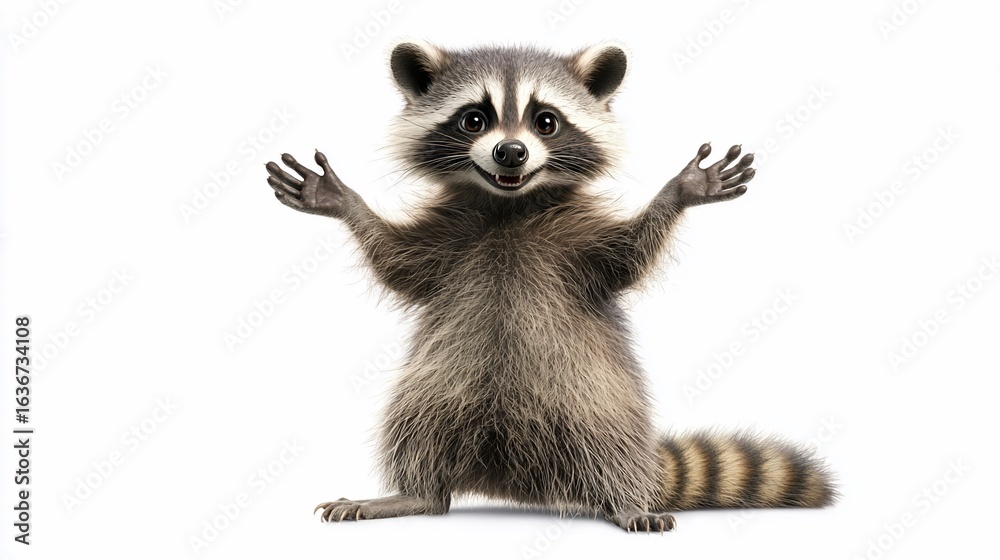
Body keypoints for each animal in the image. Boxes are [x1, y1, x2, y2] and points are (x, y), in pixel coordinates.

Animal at [265, 41, 836, 533]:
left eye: (546, 121)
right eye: (474, 118)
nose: (511, 152)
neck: (509, 206)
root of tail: (510, 481)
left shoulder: (580, 244)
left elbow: (629, 258)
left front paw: (678, 193)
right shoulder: (445, 241)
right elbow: (395, 262)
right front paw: (346, 203)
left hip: (597, 397)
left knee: (609, 444)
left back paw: (623, 501)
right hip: (437, 387)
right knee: (416, 428)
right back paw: (415, 493)